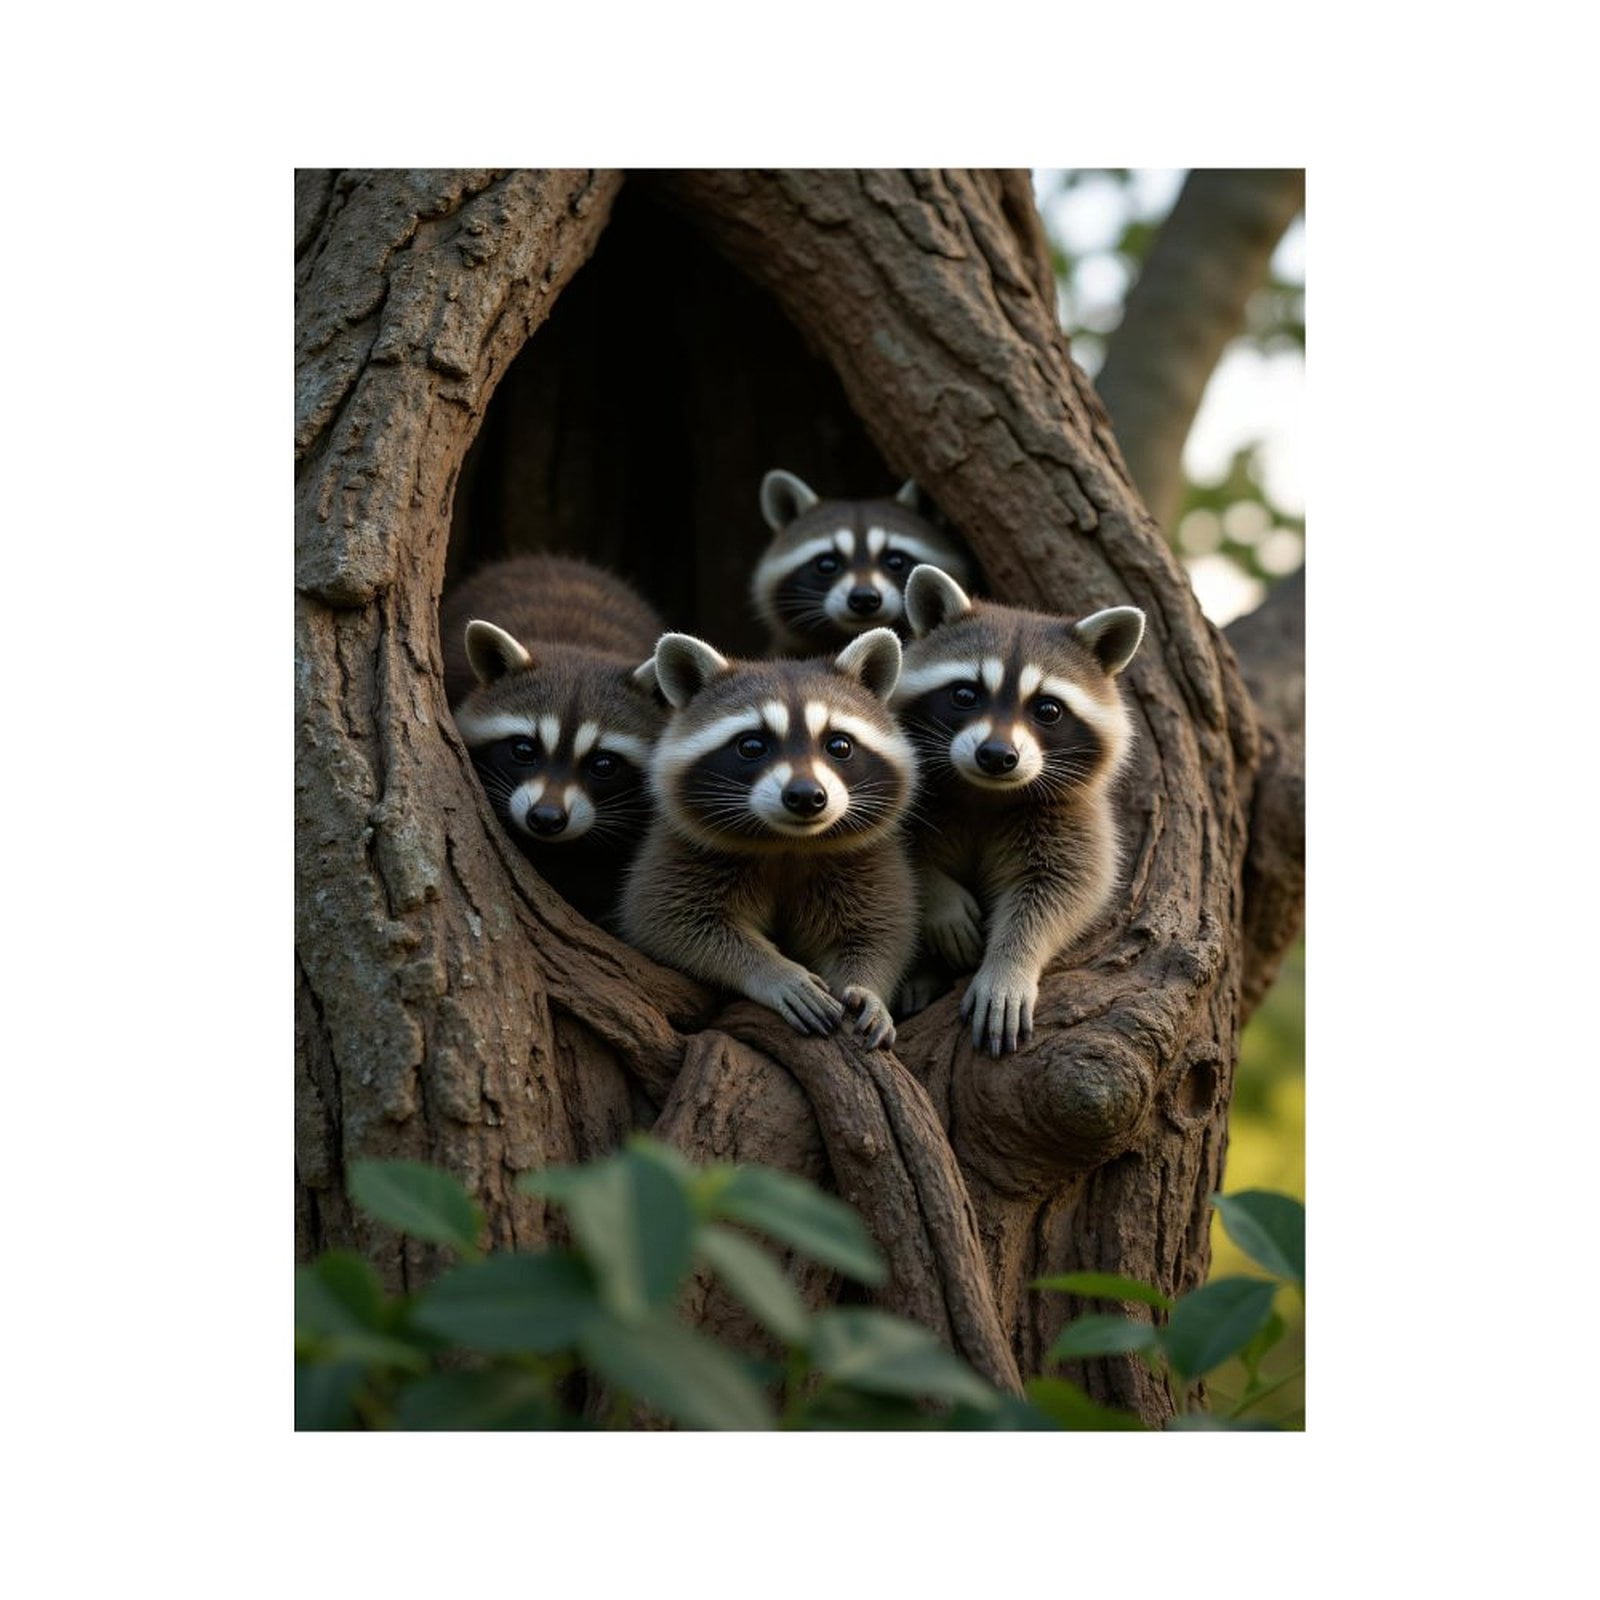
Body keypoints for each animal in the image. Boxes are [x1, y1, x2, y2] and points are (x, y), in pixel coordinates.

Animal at [621, 629, 917, 1049]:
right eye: (751, 746)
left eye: (839, 745)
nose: (806, 796)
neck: (788, 843)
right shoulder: (680, 851)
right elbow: (669, 921)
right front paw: (775, 971)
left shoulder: (867, 862)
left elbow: (876, 932)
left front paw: (869, 988)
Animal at [892, 564, 1145, 1057]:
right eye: (965, 695)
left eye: (1047, 709)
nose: (996, 756)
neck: (985, 791)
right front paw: (939, 897)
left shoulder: (1073, 815)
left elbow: (1062, 890)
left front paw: (1009, 967)